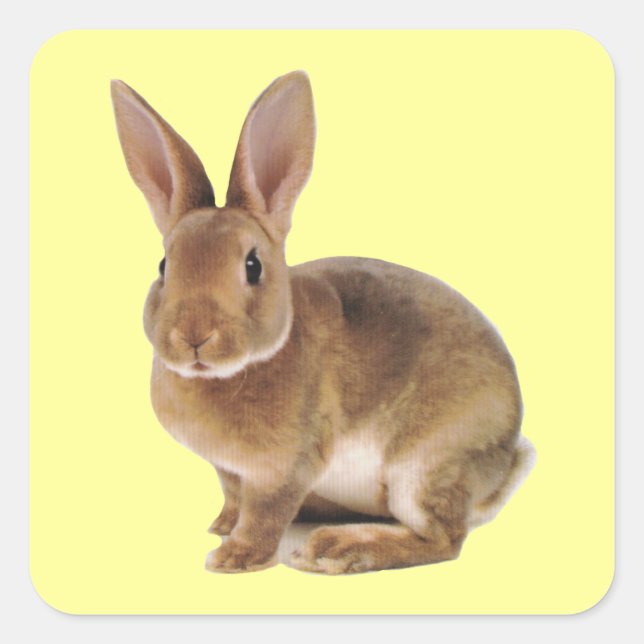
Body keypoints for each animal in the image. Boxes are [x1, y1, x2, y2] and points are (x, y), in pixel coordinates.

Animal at [111, 71, 535, 575]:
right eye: (163, 266)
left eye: (252, 266)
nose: (194, 337)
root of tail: (503, 462)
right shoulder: (230, 471)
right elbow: (235, 499)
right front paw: (222, 527)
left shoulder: (285, 467)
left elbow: (265, 513)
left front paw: (234, 557)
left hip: (424, 467)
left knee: (442, 539)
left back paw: (336, 548)